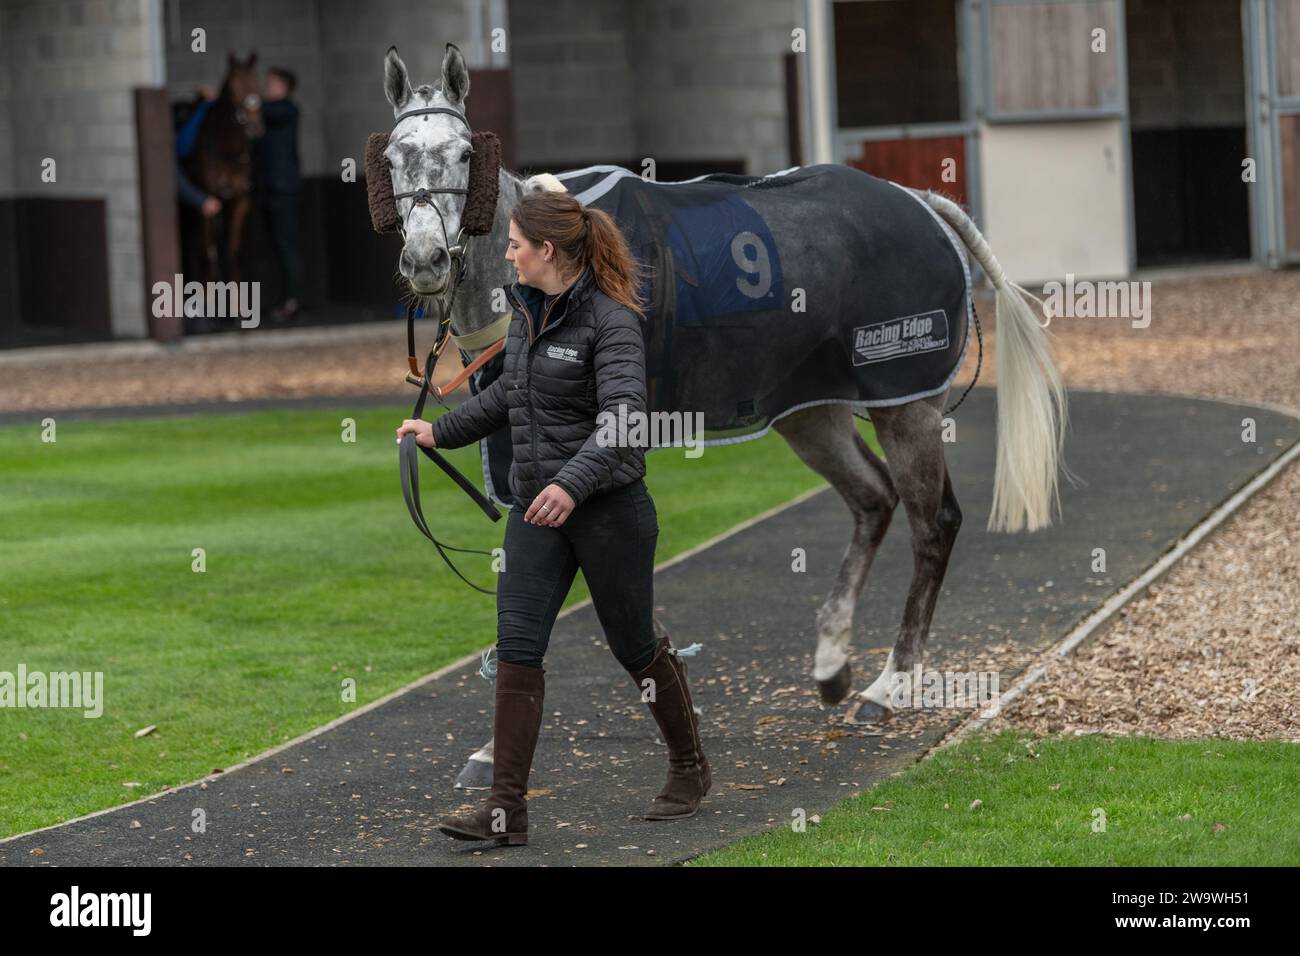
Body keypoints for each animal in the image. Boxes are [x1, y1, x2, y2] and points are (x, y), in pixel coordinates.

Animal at [183, 52, 263, 287]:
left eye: (258, 84)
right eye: (234, 88)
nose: (255, 128)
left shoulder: (239, 201)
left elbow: (233, 255)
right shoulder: (207, 203)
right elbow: (207, 256)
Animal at [377, 44, 1066, 790]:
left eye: (464, 153)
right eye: (391, 158)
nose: (424, 259)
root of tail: (922, 201)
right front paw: (490, 747)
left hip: (905, 399)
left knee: (933, 522)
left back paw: (891, 686)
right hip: (809, 410)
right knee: (872, 499)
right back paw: (832, 664)